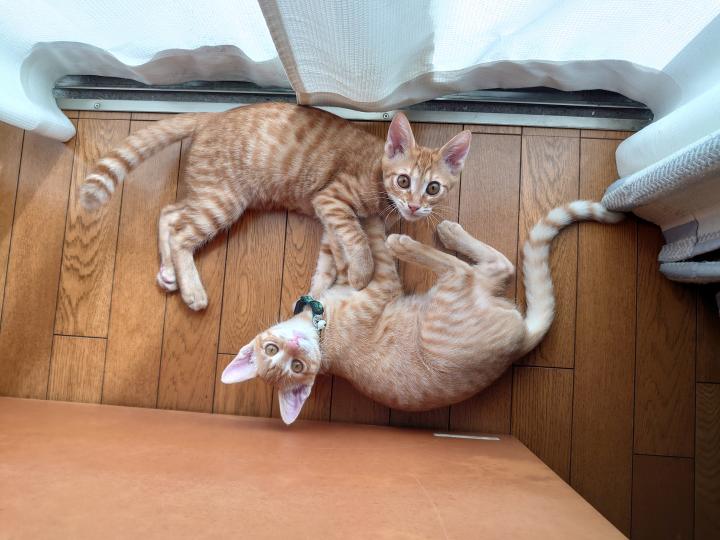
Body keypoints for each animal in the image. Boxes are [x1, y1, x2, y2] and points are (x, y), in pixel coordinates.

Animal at [79, 103, 471, 310]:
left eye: (433, 188)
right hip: (224, 200)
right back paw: (191, 289)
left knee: (169, 213)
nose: (415, 207)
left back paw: (168, 272)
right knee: (180, 232)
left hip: (209, 195)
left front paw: (323, 291)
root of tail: (212, 115)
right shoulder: (330, 200)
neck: (377, 169)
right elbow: (357, 239)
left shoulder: (328, 220)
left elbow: (329, 259)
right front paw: (362, 272)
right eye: (403, 181)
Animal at [220, 201, 623, 424]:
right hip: (447, 301)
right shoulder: (384, 285)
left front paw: (337, 244)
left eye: (274, 351)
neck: (319, 324)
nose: (294, 346)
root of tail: (521, 341)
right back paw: (414, 240)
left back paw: (447, 232)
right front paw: (371, 224)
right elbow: (372, 246)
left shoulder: (346, 283)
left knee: (502, 265)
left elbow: (340, 257)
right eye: (295, 366)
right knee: (470, 269)